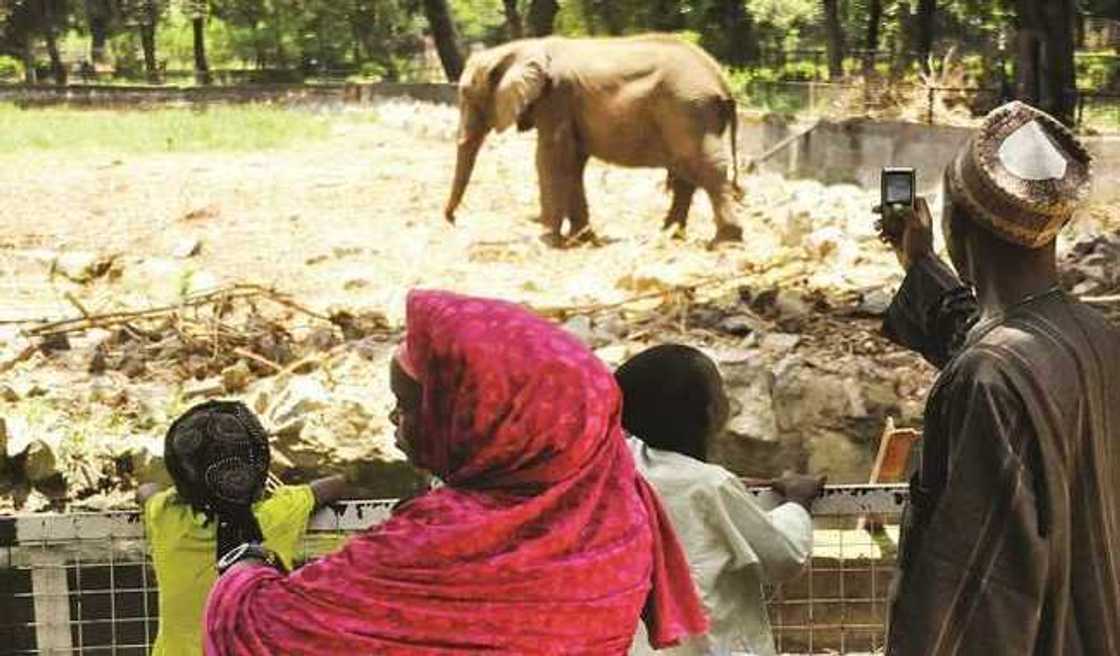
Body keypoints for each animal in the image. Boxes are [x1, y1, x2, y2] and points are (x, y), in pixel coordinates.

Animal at [443, 34, 743, 246]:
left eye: (466, 94)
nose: (452, 221)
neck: (522, 47)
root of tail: (721, 79)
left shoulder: (555, 96)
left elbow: (550, 156)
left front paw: (547, 240)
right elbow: (573, 162)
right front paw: (582, 239)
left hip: (690, 110)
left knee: (706, 167)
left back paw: (725, 242)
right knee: (686, 174)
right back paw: (668, 236)